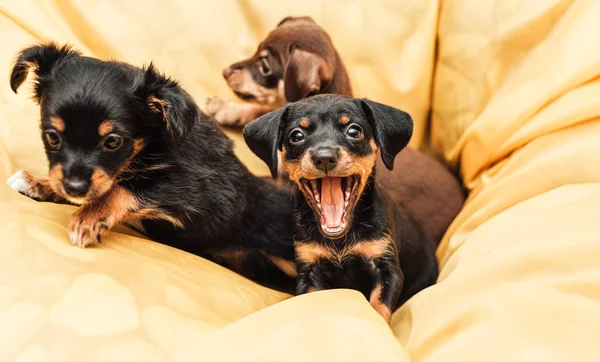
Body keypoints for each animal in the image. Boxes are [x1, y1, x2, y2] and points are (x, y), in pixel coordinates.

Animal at [7, 41, 298, 292]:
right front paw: (39, 183)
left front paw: (89, 217)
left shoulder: (206, 194)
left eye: (113, 141)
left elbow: (127, 187)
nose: (74, 188)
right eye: (52, 137)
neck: (151, 144)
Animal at [243, 94, 436, 324]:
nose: (324, 157)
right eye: (296, 135)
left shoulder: (388, 268)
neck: (340, 240)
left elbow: (379, 307)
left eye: (354, 131)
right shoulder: (309, 271)